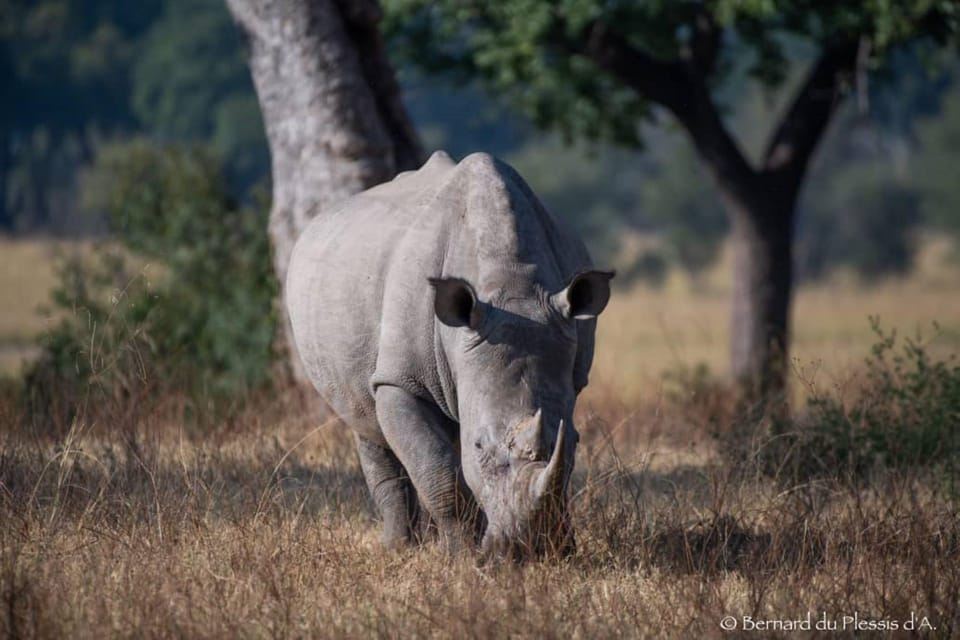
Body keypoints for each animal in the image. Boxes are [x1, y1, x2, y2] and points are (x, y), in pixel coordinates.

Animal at [286, 151, 612, 559]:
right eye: (480, 446)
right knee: (365, 417)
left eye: (578, 441)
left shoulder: (571, 372)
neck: (511, 289)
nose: (531, 550)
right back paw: (399, 548)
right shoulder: (401, 380)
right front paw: (460, 556)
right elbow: (436, 467)